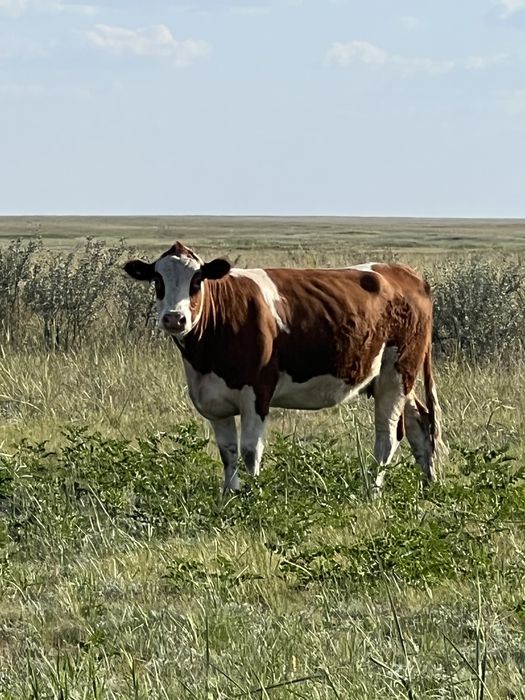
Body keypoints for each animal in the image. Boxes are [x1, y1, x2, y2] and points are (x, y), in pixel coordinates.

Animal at [124, 241, 445, 493]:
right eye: (158, 281)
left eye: (196, 280)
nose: (174, 318)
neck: (205, 357)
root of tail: (406, 273)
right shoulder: (214, 400)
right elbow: (228, 453)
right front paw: (228, 497)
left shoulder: (258, 391)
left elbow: (250, 451)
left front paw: (252, 497)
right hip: (392, 376)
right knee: (420, 422)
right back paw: (428, 483)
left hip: (398, 370)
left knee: (388, 436)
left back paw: (372, 492)